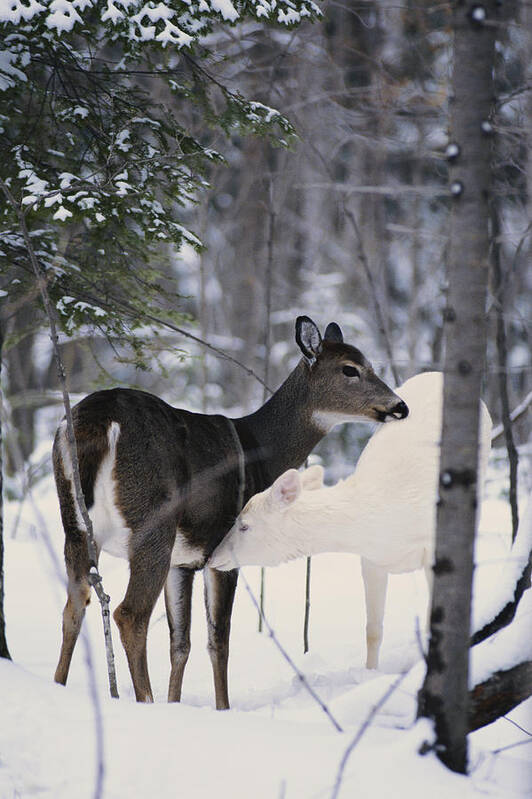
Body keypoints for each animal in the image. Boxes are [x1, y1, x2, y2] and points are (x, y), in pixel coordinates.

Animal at [53, 316, 408, 708]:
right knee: (129, 614)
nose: (400, 406)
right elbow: (218, 640)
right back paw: (145, 700)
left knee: (74, 604)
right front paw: (222, 709)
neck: (261, 454)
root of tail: (99, 421)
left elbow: (181, 643)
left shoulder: (183, 561)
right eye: (350, 369)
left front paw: (176, 703)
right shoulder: (224, 550)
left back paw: (59, 686)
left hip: (75, 525)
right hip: (152, 524)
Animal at [208, 376, 490, 668]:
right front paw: (370, 671)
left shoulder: (433, 548)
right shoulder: (371, 560)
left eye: (244, 525)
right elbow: (373, 630)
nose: (212, 557)